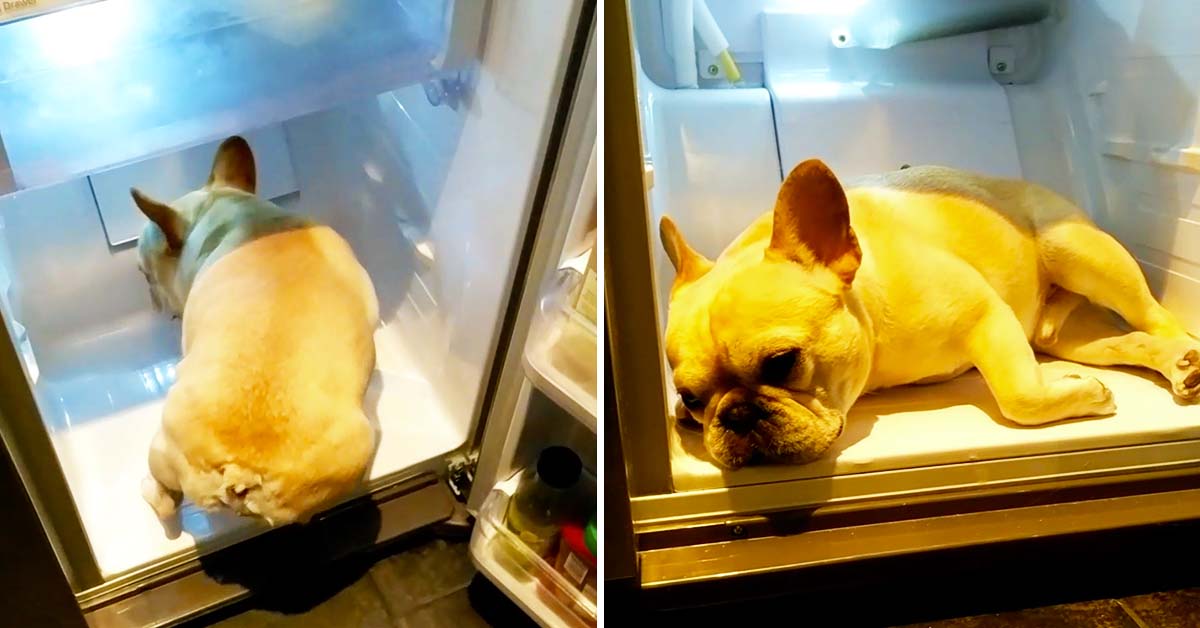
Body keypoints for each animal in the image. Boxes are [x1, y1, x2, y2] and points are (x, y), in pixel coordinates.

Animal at [132, 136, 376, 525]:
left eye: (144, 273)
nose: (154, 303)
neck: (229, 208)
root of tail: (242, 466)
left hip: (161, 448)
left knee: (166, 501)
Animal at [662, 159, 1200, 468]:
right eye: (690, 397)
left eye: (781, 363)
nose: (735, 415)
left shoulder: (986, 315)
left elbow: (1019, 396)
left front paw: (1083, 395)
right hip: (1067, 336)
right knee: (1129, 340)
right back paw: (1178, 365)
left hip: (1079, 250)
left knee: (1157, 318)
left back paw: (1186, 355)